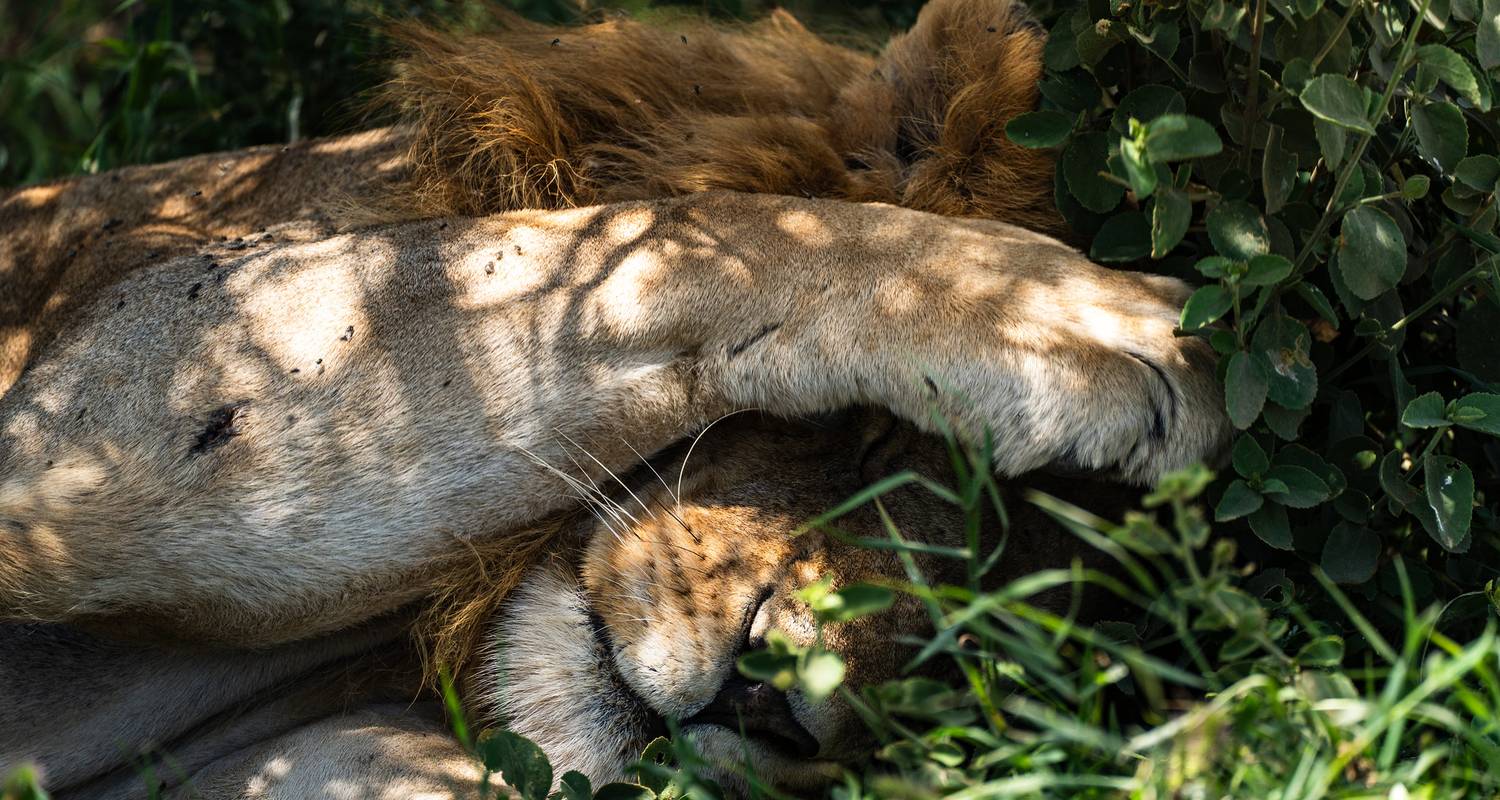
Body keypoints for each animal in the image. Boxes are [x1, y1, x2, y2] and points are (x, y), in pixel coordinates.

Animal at [0, 1, 1230, 798]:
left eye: (997, 633)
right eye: (872, 433)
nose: (766, 703)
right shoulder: (135, 351)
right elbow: (680, 237)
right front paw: (1074, 318)